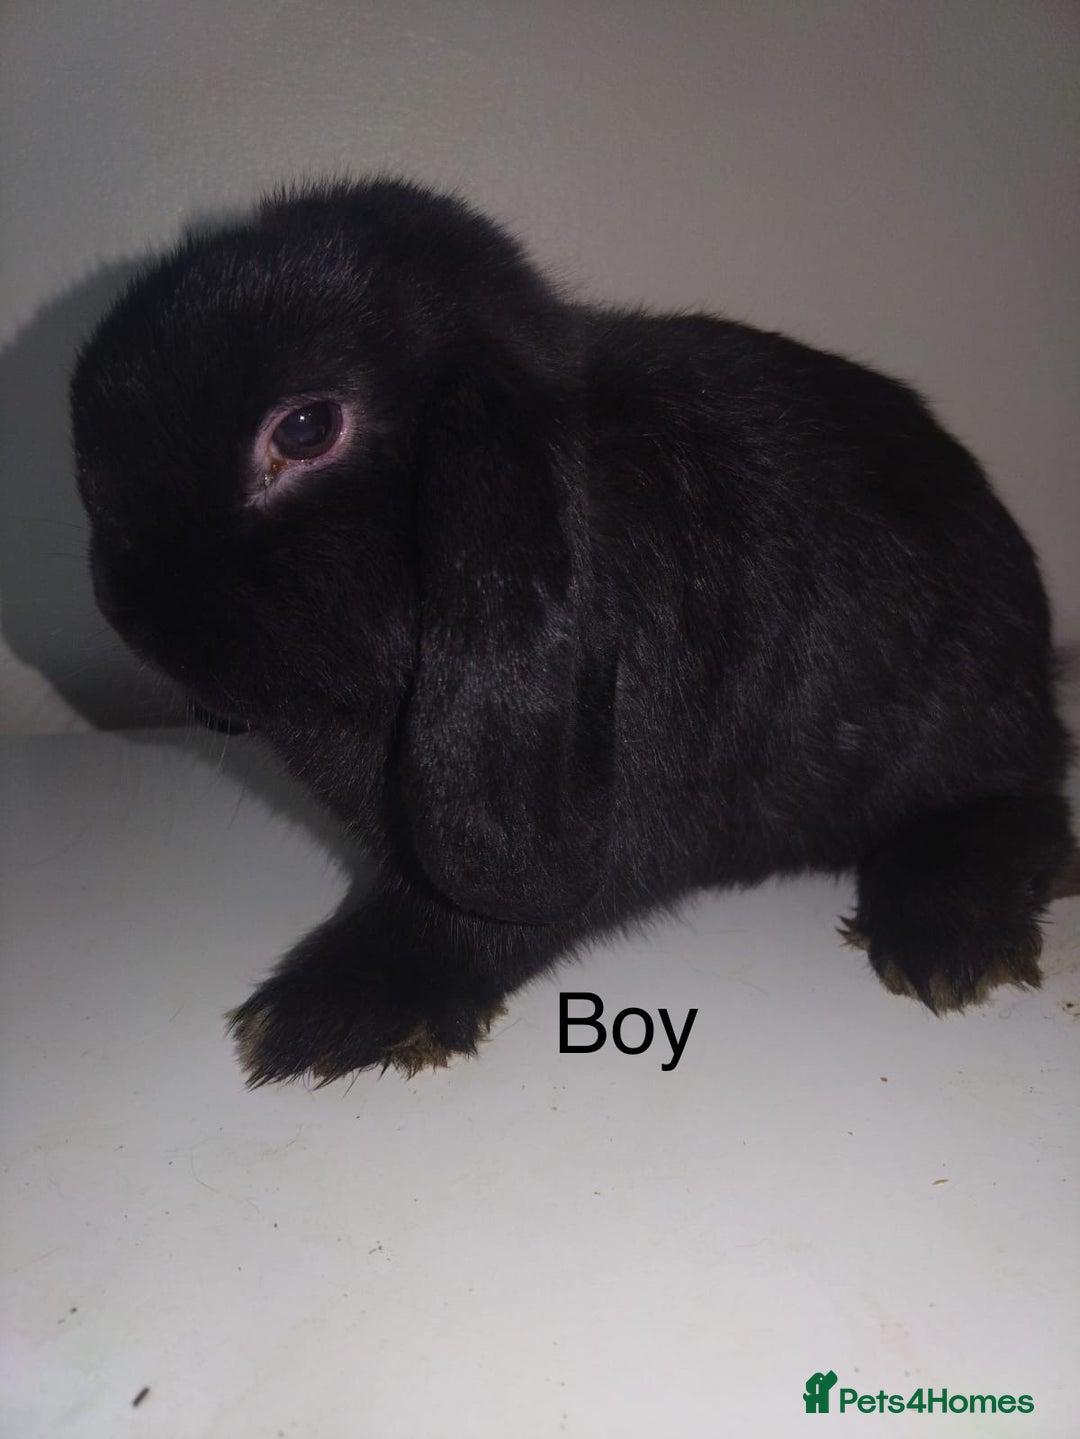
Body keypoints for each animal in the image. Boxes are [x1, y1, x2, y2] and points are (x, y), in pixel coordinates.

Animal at [70, 177, 1076, 1086]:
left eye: (307, 427)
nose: (130, 613)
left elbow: (477, 918)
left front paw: (325, 1014)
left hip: (959, 715)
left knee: (1027, 803)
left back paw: (945, 935)